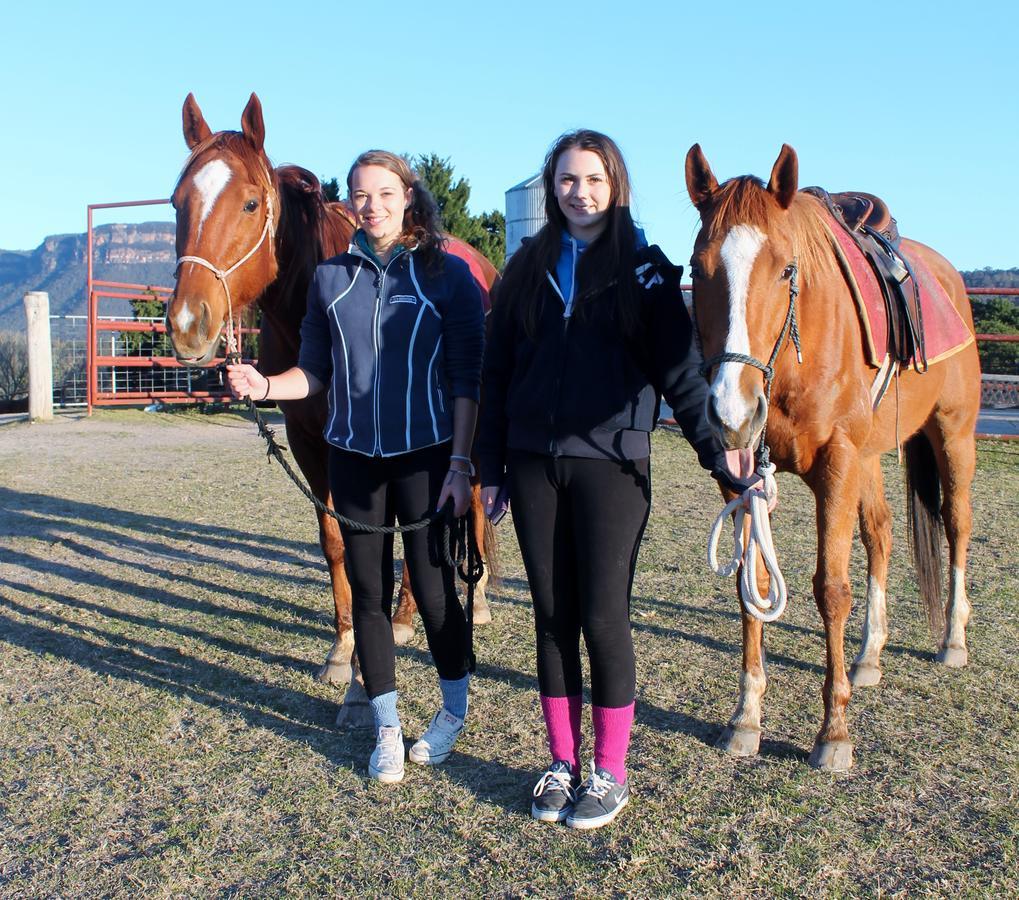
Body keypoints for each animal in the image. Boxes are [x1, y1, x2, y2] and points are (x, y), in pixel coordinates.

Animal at [165, 93, 499, 725]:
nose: (188, 324)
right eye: (177, 203)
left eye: (250, 203)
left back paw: (466, 601)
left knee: (466, 505)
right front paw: (344, 649)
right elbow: (338, 542)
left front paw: (381, 646)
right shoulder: (311, 442)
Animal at [684, 144, 978, 770]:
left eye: (786, 270)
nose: (732, 411)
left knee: (957, 525)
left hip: (953, 434)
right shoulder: (744, 481)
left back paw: (953, 640)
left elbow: (832, 589)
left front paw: (834, 731)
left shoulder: (837, 465)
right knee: (882, 534)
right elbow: (753, 586)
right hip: (869, 459)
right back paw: (869, 654)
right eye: (696, 269)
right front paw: (745, 718)